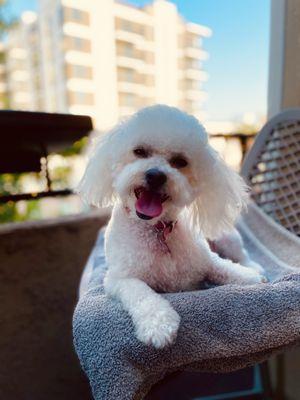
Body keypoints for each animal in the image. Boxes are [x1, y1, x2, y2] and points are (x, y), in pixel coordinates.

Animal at [77, 104, 264, 348]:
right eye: (139, 151)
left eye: (180, 161)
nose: (155, 175)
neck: (157, 229)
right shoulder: (119, 279)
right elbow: (141, 294)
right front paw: (158, 324)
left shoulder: (206, 261)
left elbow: (228, 269)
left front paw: (252, 278)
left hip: (226, 236)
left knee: (240, 254)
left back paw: (254, 266)